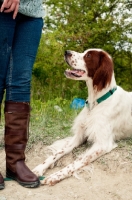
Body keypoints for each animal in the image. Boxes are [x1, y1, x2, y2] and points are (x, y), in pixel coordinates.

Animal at [32, 48, 132, 186]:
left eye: (88, 55)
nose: (66, 51)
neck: (95, 103)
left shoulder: (102, 144)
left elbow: (77, 162)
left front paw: (56, 175)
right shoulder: (79, 136)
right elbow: (58, 153)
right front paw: (39, 168)